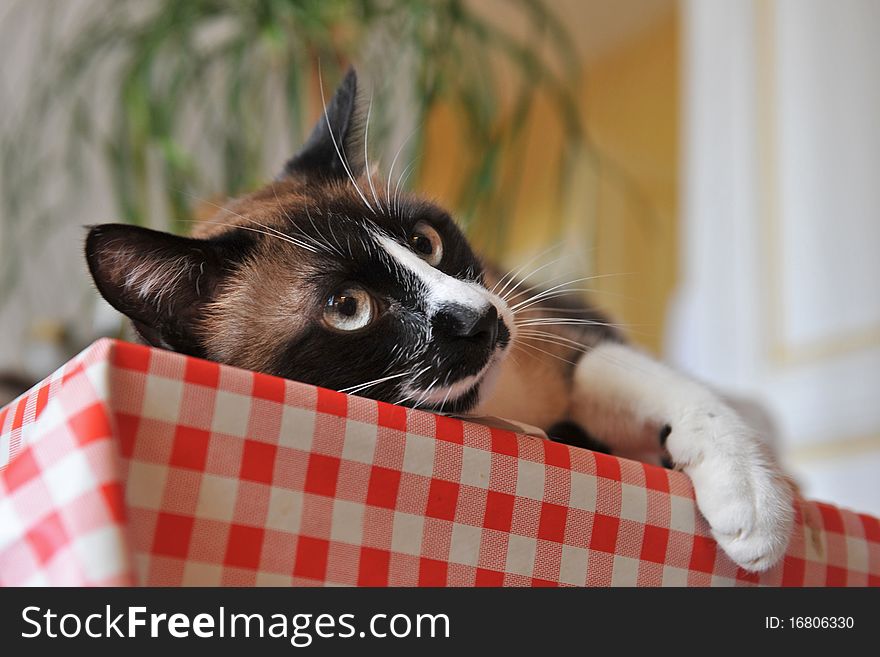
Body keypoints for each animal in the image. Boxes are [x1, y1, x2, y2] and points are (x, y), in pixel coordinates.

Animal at [86, 66, 796, 568]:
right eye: (348, 308)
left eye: (425, 242)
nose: (480, 321)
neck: (498, 408)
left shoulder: (559, 338)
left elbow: (667, 389)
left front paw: (755, 504)